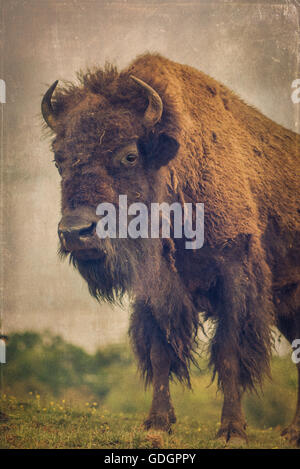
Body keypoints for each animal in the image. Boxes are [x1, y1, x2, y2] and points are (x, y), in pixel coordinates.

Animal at [41, 53, 298, 444]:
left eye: (130, 156)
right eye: (59, 159)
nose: (75, 232)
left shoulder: (235, 276)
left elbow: (229, 353)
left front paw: (232, 430)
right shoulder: (155, 291)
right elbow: (160, 351)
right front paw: (157, 422)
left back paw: (293, 433)